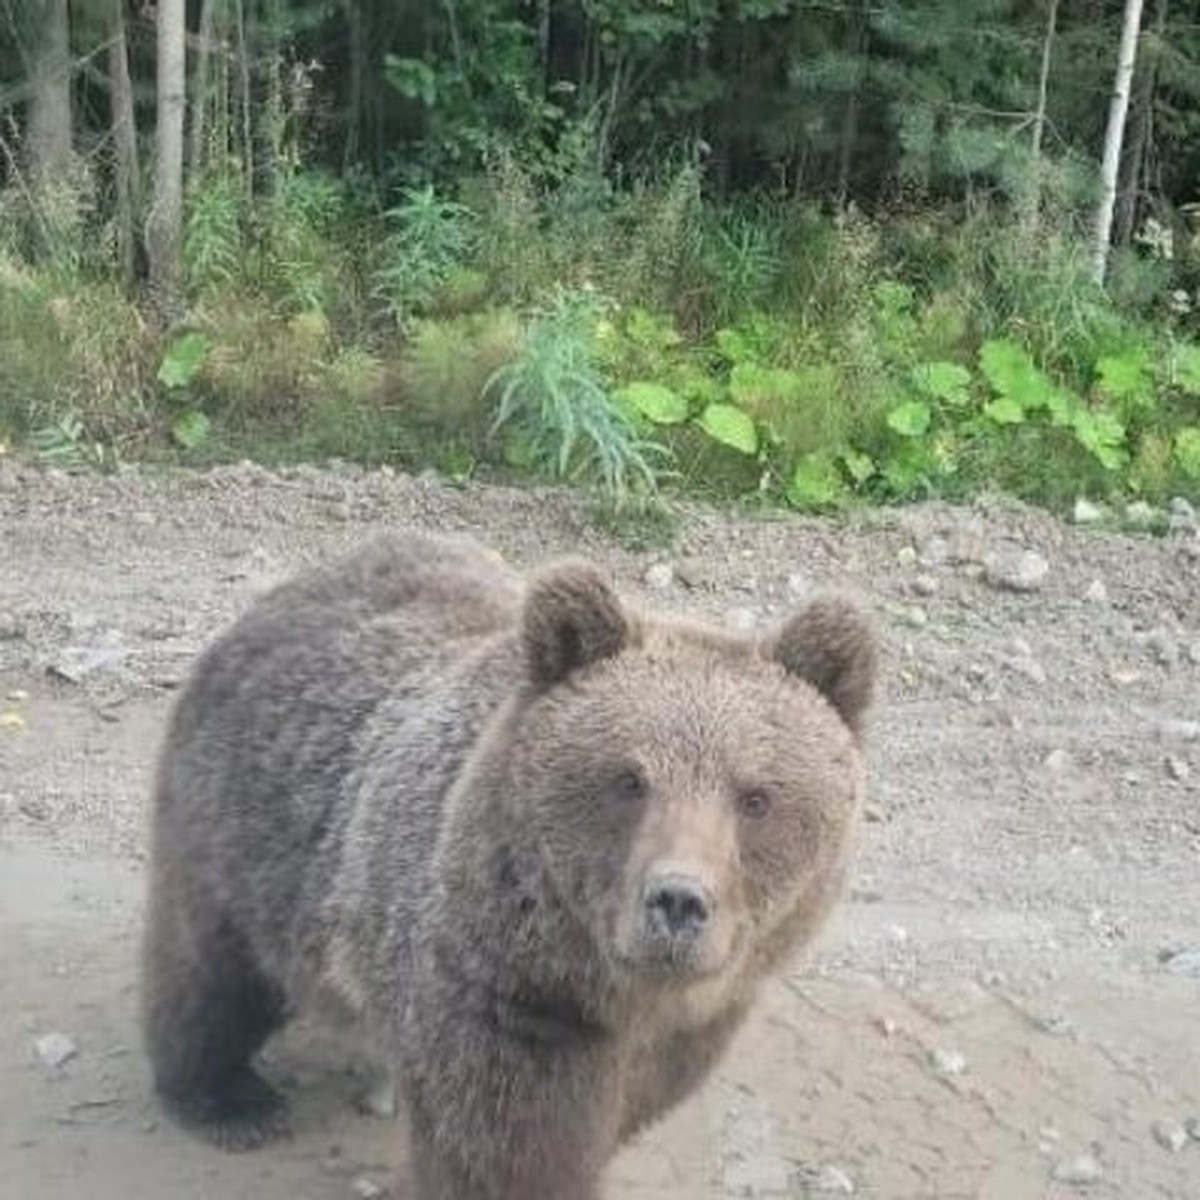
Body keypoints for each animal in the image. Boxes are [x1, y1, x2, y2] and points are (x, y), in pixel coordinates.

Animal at [142, 535, 883, 1200]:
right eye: (629, 780)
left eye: (755, 796)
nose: (678, 901)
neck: (615, 995)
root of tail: (299, 583)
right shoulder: (508, 1001)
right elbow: (509, 1148)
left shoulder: (688, 1030)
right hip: (249, 833)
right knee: (210, 969)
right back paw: (228, 1100)